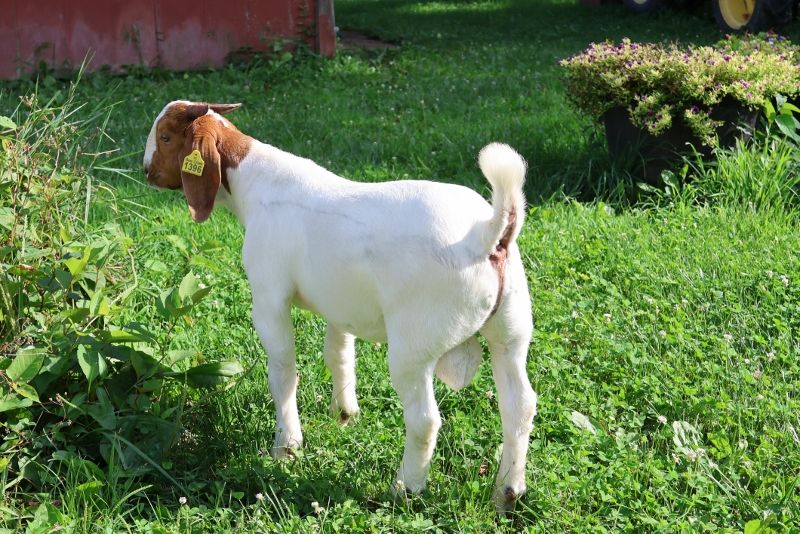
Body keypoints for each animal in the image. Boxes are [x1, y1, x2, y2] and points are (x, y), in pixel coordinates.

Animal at [143, 101, 537, 511]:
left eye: (166, 137)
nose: (146, 171)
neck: (257, 180)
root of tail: (488, 234)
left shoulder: (268, 297)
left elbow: (283, 371)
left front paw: (286, 447)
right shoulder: (342, 305)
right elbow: (339, 353)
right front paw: (345, 413)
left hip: (414, 345)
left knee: (424, 419)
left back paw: (405, 487)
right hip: (511, 331)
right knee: (519, 405)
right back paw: (508, 491)